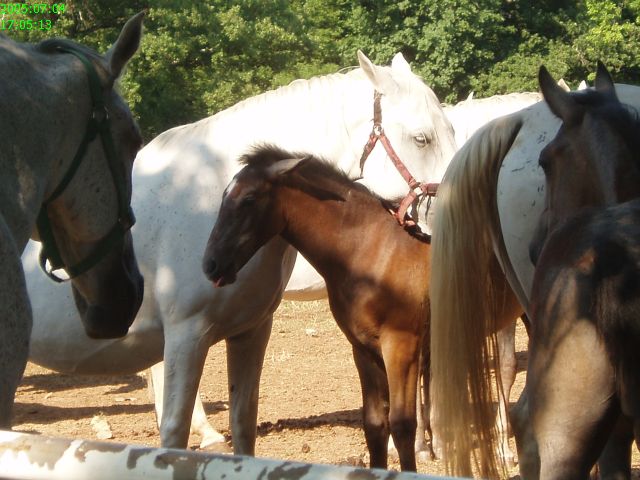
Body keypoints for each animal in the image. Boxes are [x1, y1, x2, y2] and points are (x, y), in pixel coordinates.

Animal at [202, 145, 430, 471]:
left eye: (249, 199)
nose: (210, 264)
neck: (372, 251)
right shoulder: (364, 349)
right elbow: (375, 424)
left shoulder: (401, 346)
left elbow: (402, 425)